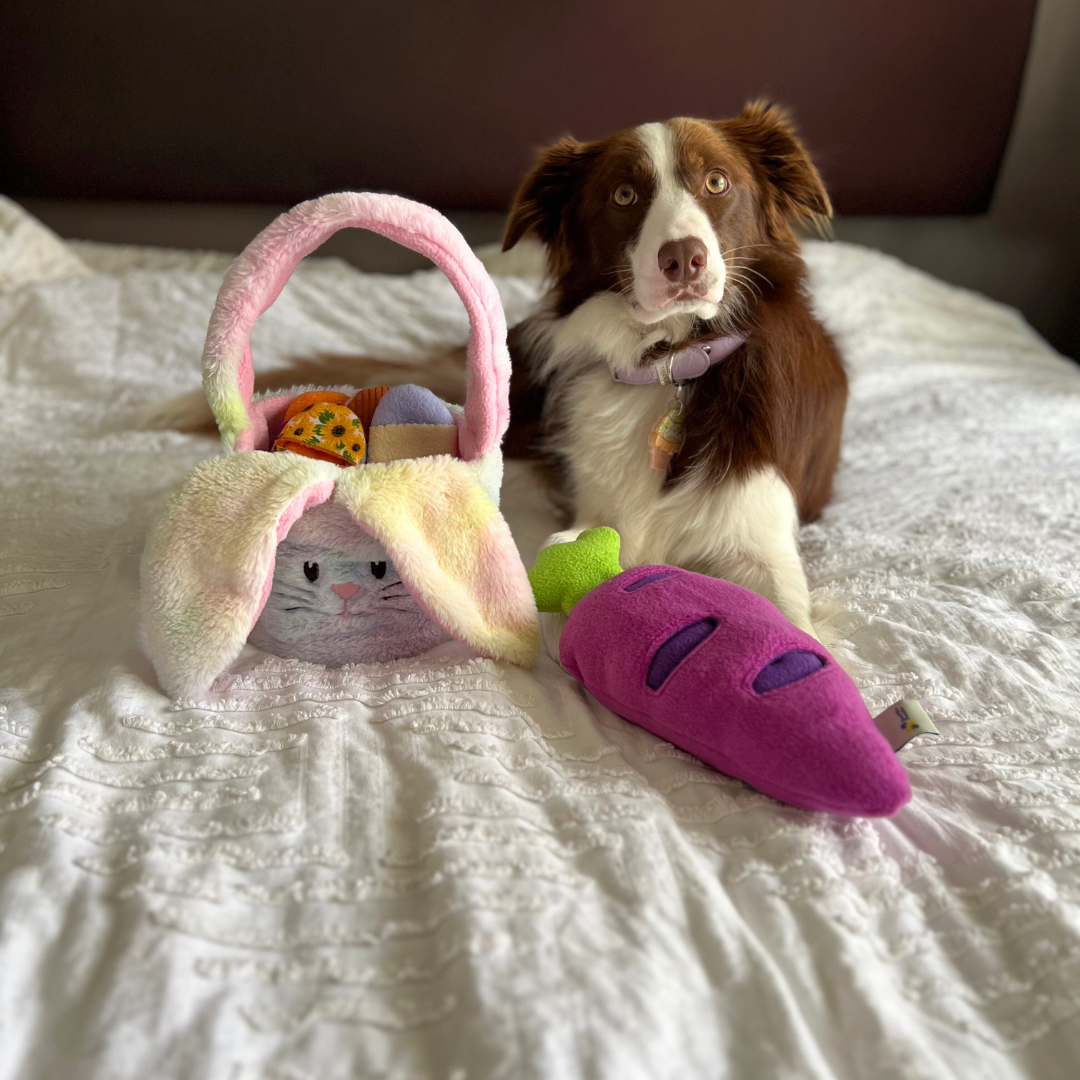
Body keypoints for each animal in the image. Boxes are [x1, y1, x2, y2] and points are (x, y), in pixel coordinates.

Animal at [501, 102, 846, 635]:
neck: (672, 359)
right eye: (623, 195)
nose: (683, 258)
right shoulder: (595, 508)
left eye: (717, 182)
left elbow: (794, 623)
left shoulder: (761, 536)